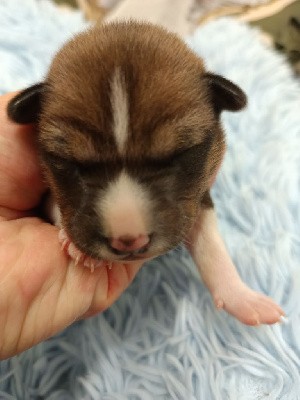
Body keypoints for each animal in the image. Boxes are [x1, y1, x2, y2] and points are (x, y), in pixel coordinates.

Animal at [7, 20, 284, 324]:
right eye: (70, 162)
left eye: (179, 153)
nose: (129, 241)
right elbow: (57, 206)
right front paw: (73, 243)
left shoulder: (198, 198)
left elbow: (211, 245)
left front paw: (243, 298)